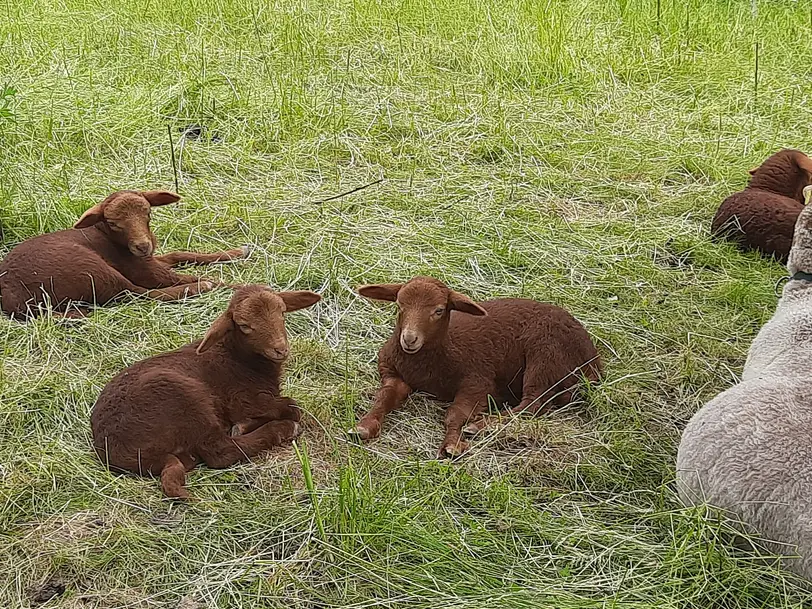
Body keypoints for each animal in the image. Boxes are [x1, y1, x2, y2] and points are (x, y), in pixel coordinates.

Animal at [0, 189, 247, 318]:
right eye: (113, 223)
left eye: (148, 213)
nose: (142, 246)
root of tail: (12, 300)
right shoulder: (144, 270)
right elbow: (188, 276)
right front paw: (239, 286)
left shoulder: (150, 260)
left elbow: (180, 254)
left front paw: (237, 251)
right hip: (90, 269)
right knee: (137, 293)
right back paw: (199, 288)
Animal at [89, 284, 318, 498]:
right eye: (244, 326)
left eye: (282, 312)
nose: (280, 349)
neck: (237, 357)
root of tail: (116, 451)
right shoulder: (243, 400)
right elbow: (292, 406)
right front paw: (246, 425)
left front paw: (242, 426)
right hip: (186, 400)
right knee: (219, 451)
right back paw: (284, 429)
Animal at [350, 276, 604, 456]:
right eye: (400, 305)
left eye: (439, 310)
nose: (409, 339)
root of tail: (592, 358)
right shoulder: (393, 374)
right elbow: (383, 399)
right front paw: (363, 427)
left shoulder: (477, 382)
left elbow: (455, 415)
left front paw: (452, 444)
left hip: (546, 356)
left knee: (533, 403)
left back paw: (482, 426)